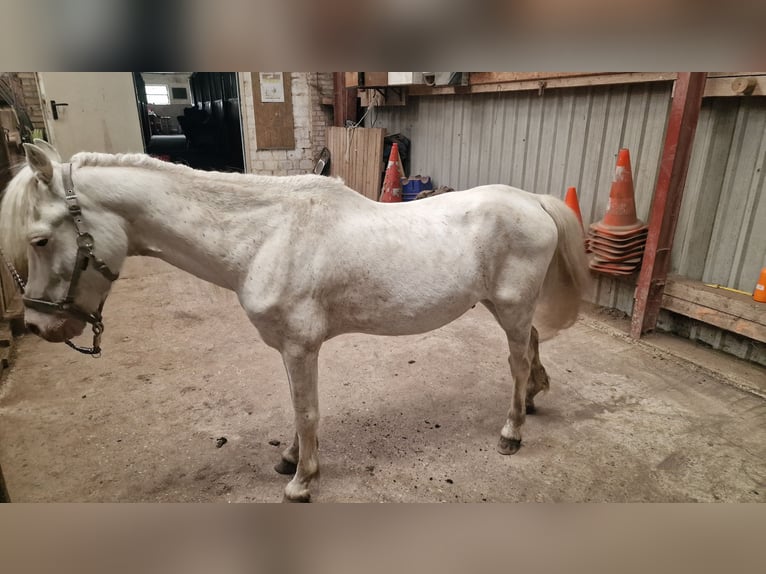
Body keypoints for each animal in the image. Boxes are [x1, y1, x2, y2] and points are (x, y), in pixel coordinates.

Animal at [0, 142, 592, 502]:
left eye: (39, 239)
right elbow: (294, 407)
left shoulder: (301, 347)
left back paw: (512, 431)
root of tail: (533, 201)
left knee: (517, 360)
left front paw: (303, 481)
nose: (38, 325)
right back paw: (532, 402)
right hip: (508, 307)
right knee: (532, 347)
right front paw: (289, 460)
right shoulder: (291, 350)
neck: (267, 236)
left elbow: (306, 412)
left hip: (510, 307)